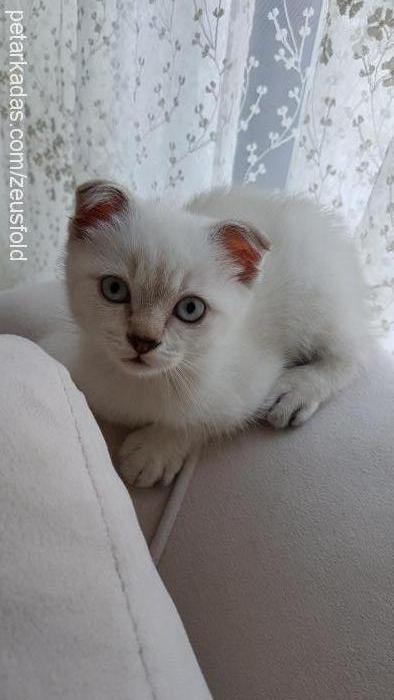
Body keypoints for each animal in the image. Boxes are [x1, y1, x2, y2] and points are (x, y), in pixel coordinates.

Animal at [60, 180, 366, 486]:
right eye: (114, 289)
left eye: (191, 309)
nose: (142, 341)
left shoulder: (248, 384)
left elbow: (203, 419)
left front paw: (153, 451)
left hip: (315, 300)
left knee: (356, 353)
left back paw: (294, 390)